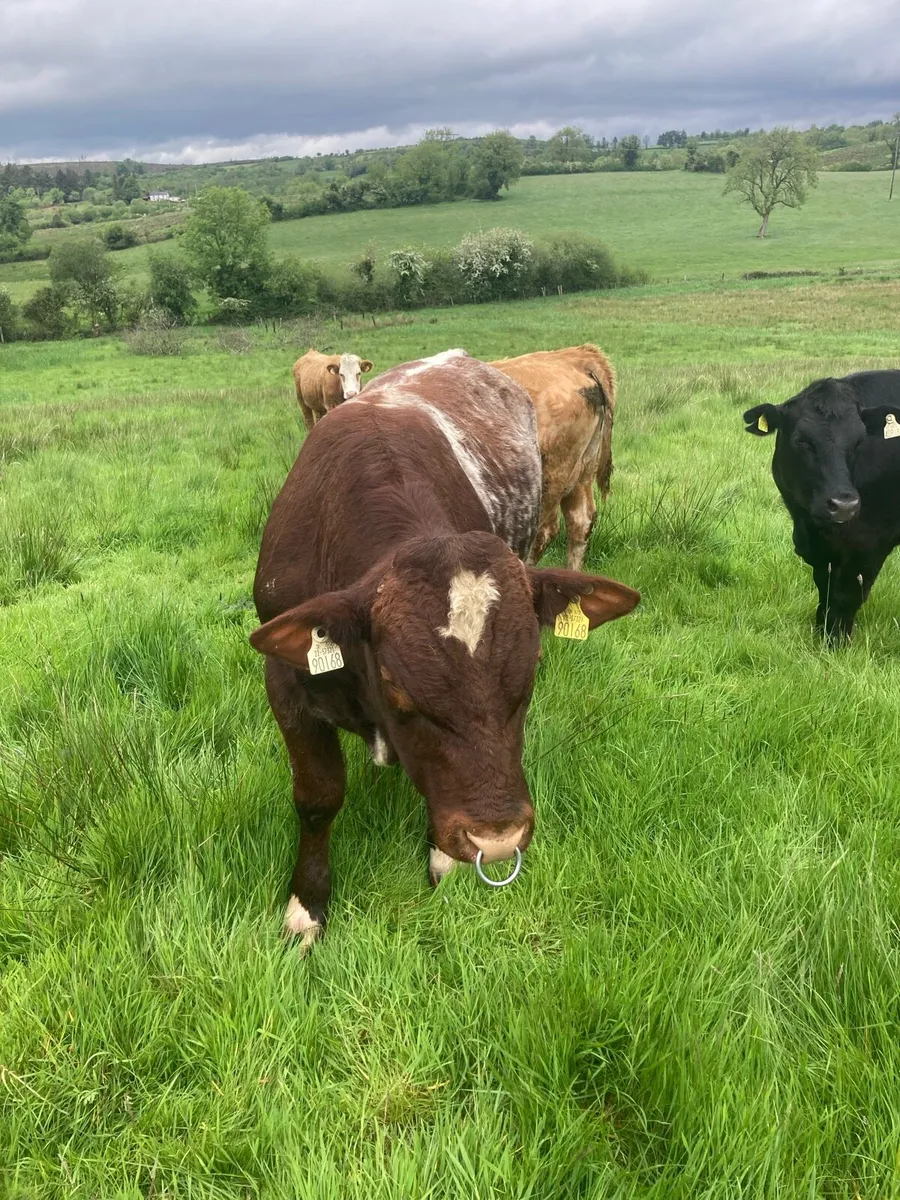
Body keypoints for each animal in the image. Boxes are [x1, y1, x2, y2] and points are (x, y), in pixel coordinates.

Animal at [744, 369, 900, 642]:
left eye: (859, 441)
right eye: (801, 441)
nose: (844, 505)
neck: (811, 526)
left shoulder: (870, 542)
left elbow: (846, 596)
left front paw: (836, 643)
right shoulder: (820, 551)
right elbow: (825, 592)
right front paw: (821, 634)